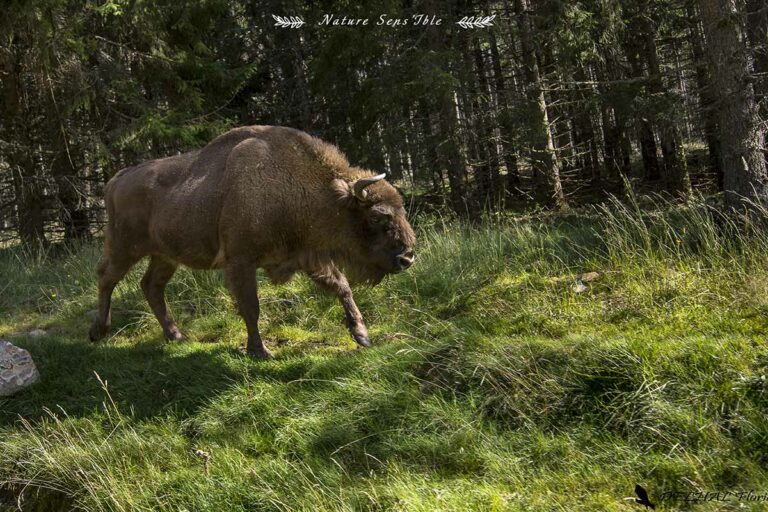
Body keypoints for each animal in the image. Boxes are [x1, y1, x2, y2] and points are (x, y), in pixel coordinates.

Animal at [89, 126, 416, 358]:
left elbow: (342, 286)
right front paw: (260, 351)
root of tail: (116, 179)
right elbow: (251, 306)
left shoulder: (309, 257)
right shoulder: (240, 262)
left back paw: (177, 336)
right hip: (124, 247)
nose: (408, 257)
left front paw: (362, 336)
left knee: (151, 285)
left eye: (401, 208)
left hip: (165, 255)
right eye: (377, 217)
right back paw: (98, 332)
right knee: (106, 277)